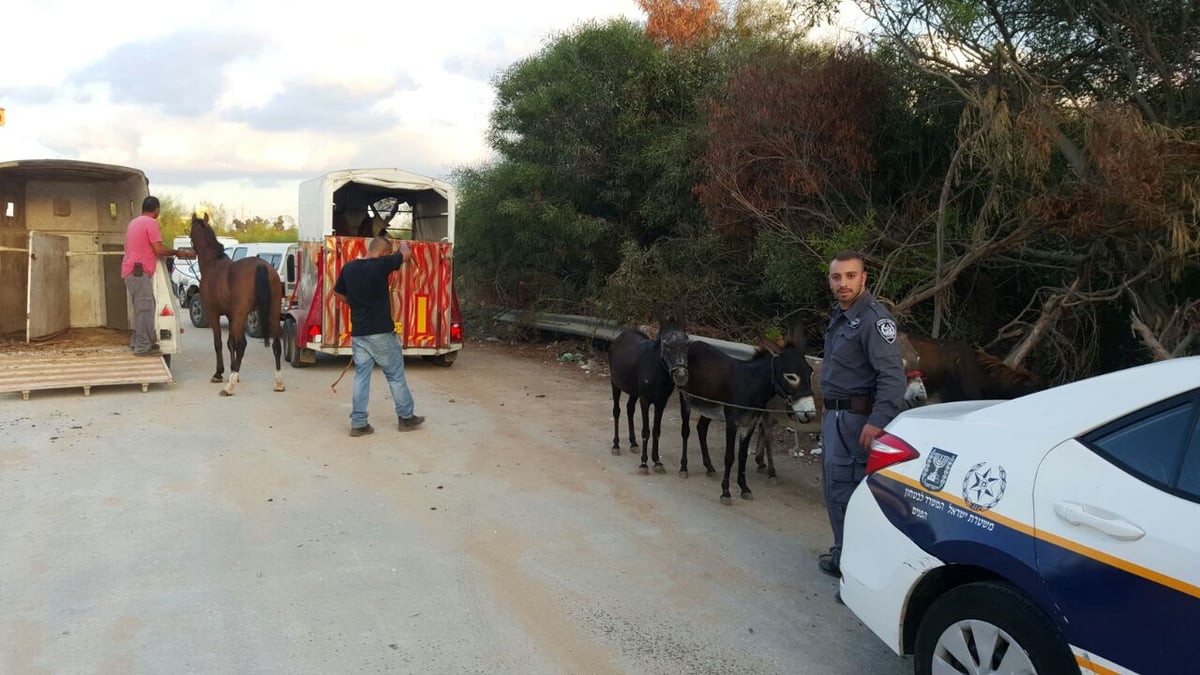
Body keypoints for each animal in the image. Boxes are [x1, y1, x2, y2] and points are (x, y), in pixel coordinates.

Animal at [190, 212, 286, 393]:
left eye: (190, 232)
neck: (213, 263)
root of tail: (262, 266)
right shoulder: (231, 315)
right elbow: (230, 343)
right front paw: (232, 370)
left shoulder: (214, 314)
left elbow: (219, 343)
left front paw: (220, 373)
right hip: (272, 311)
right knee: (276, 344)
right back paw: (278, 383)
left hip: (244, 314)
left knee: (242, 344)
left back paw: (229, 387)